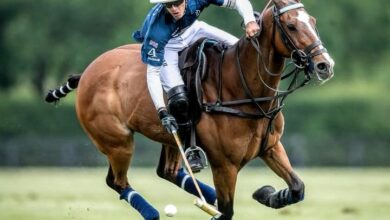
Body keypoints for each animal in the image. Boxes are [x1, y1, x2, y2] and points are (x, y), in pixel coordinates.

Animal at [45, 0, 332, 220]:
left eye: (313, 21)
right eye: (291, 26)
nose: (324, 65)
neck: (243, 89)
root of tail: (86, 73)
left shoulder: (271, 147)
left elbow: (297, 187)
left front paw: (267, 194)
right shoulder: (224, 164)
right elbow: (227, 212)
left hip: (169, 139)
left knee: (167, 171)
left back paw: (206, 197)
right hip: (117, 142)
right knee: (117, 181)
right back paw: (152, 212)